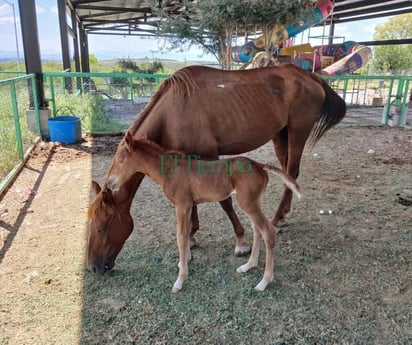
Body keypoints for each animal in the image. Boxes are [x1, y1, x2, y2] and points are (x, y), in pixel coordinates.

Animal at [87, 63, 344, 272]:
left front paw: (241, 242)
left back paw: (278, 217)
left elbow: (224, 201)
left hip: (297, 132)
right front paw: (192, 236)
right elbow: (194, 201)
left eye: (102, 227)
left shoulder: (210, 156)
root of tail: (309, 75)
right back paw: (281, 215)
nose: (93, 267)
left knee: (292, 172)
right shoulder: (191, 160)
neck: (174, 109)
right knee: (287, 173)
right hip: (280, 135)